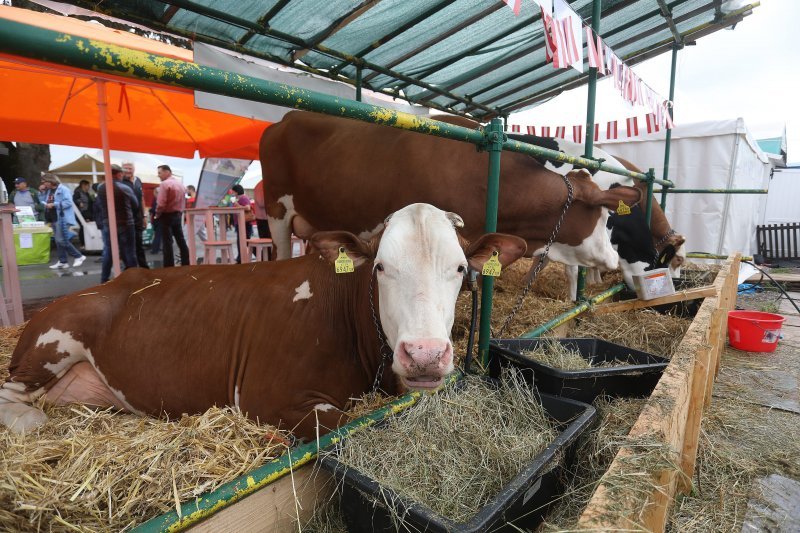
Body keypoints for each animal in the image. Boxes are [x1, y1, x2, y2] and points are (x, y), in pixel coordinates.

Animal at [0, 204, 528, 440]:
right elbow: (343, 420)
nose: (424, 354)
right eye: (380, 267)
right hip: (53, 338)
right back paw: (29, 420)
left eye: (458, 269)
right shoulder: (264, 395)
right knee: (15, 396)